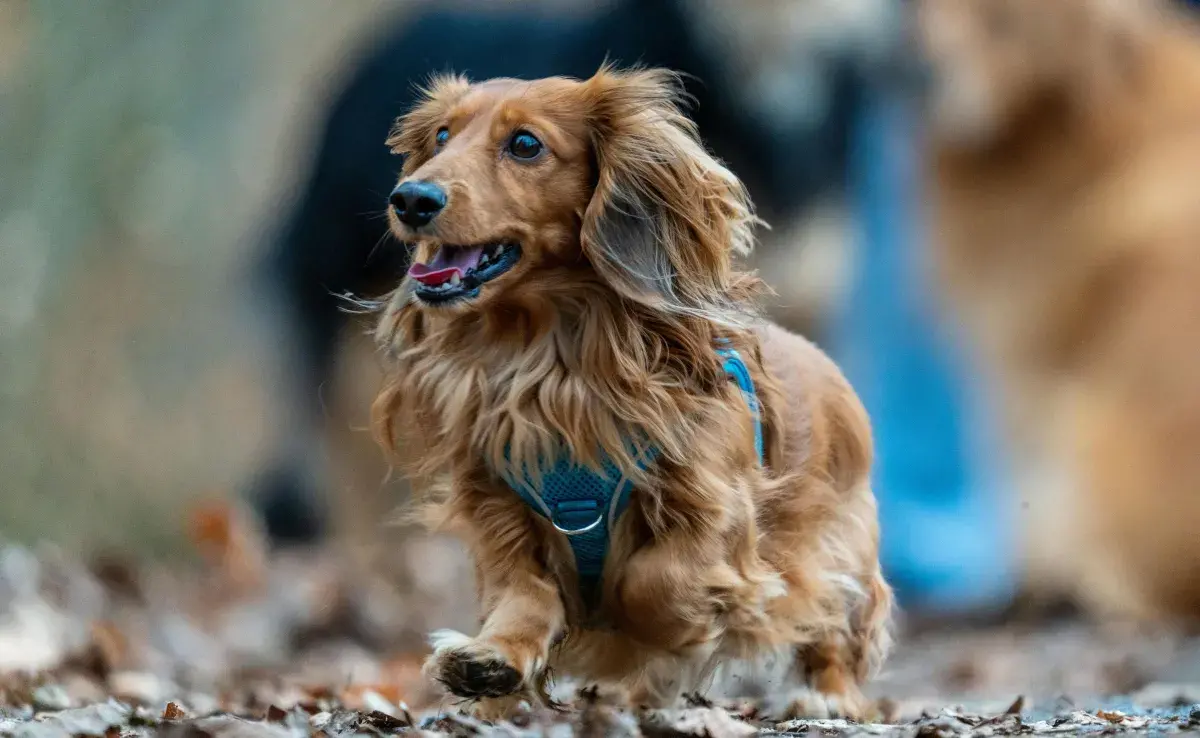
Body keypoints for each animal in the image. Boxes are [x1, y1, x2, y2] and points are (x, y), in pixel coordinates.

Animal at [374, 67, 892, 715]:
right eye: (441, 136)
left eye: (525, 144)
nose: (411, 199)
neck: (551, 369)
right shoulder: (498, 505)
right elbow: (525, 592)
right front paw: (494, 658)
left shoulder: (713, 505)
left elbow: (651, 582)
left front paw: (672, 627)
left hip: (838, 549)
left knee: (832, 629)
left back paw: (824, 697)